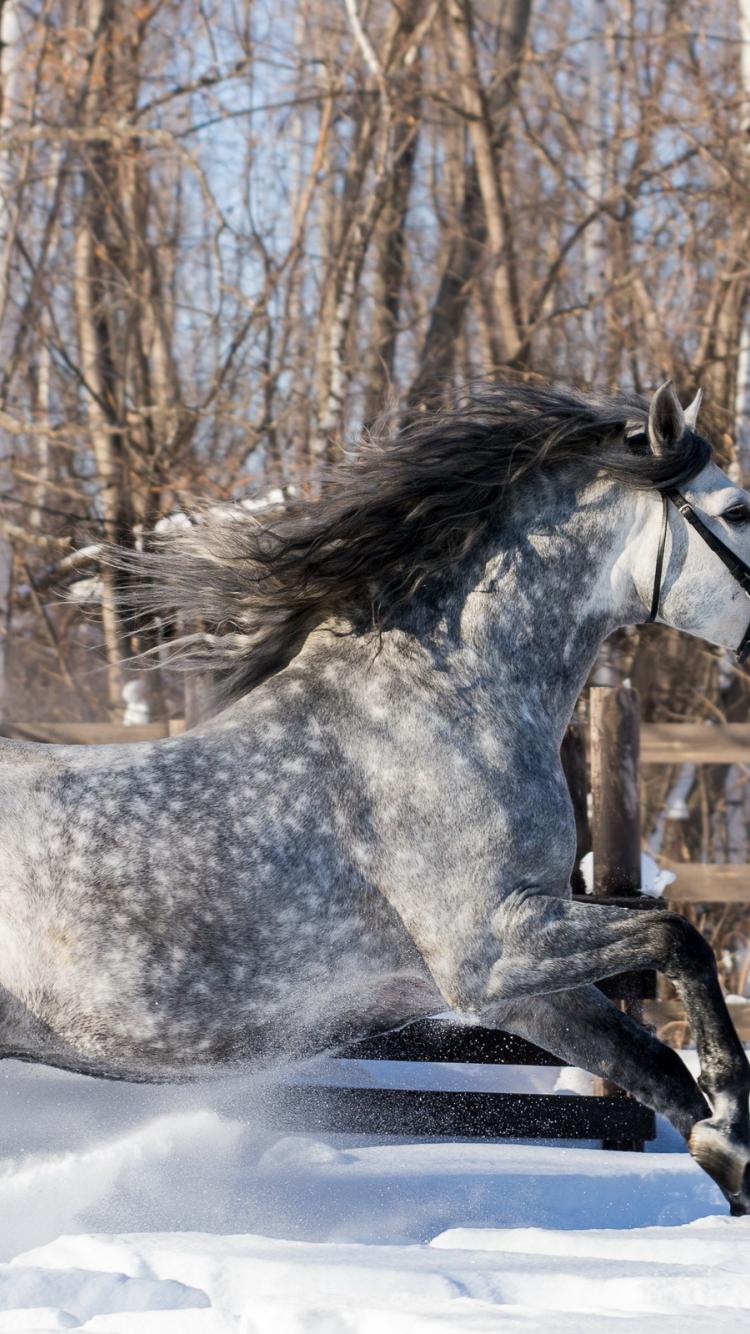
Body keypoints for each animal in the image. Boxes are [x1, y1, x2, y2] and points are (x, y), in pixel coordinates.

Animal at [2, 379, 750, 1213]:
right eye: (739, 510)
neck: (448, 704)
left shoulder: (517, 985)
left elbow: (657, 1067)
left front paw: (727, 1159)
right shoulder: (487, 951)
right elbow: (679, 939)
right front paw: (733, 1113)